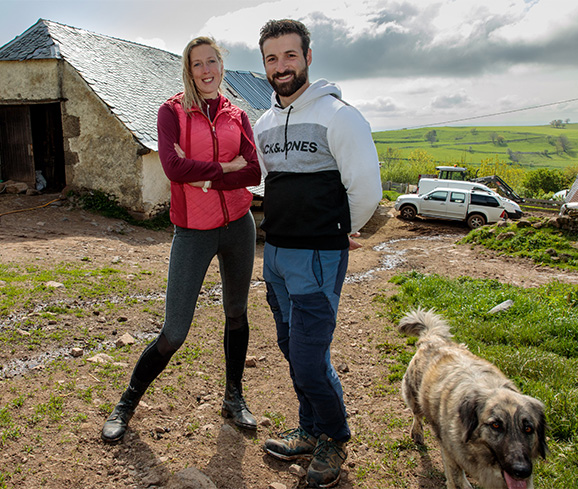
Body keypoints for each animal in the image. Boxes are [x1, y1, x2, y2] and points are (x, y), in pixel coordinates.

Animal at [396, 308, 544, 488]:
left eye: (528, 429)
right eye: (496, 425)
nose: (521, 470)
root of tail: (433, 338)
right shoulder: (451, 453)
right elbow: (456, 479)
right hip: (414, 396)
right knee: (417, 415)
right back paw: (417, 434)